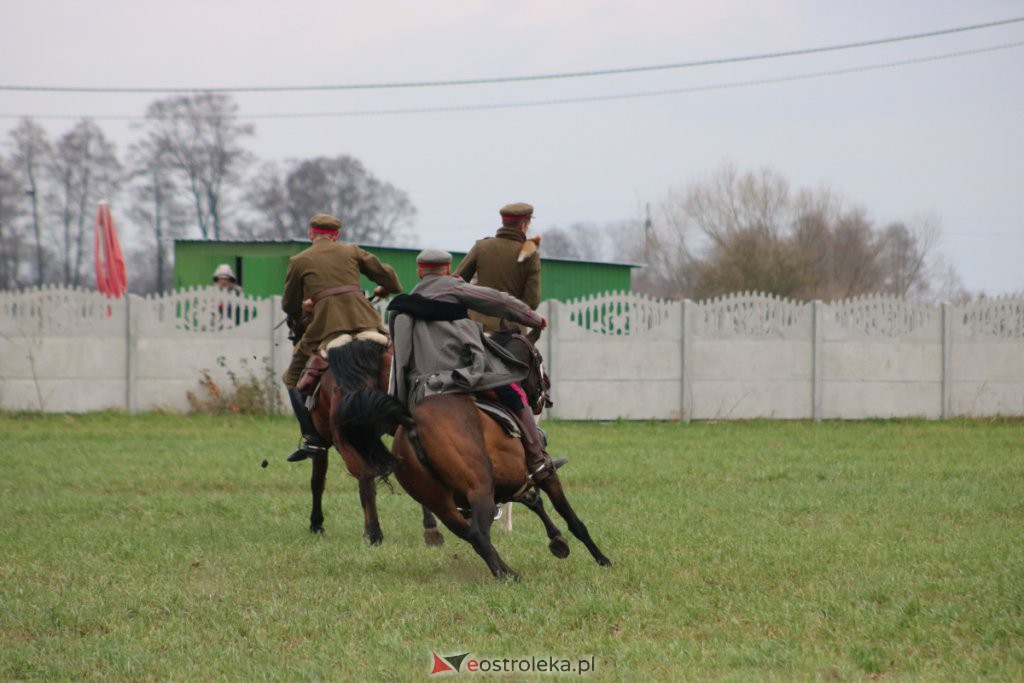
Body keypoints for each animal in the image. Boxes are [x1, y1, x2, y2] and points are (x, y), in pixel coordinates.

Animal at [296, 339, 440, 548]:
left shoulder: (324, 443)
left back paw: (373, 533)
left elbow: (317, 482)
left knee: (365, 478)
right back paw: (430, 529)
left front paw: (316, 524)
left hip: (344, 440)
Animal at [331, 339, 610, 581]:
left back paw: (503, 571)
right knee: (478, 533)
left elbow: (533, 500)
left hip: (441, 502)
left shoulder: (509, 483)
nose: (547, 398)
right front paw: (601, 558)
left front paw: (557, 540)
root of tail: (411, 422)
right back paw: (509, 575)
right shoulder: (544, 476)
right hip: (480, 491)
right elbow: (571, 518)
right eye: (539, 360)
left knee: (473, 536)